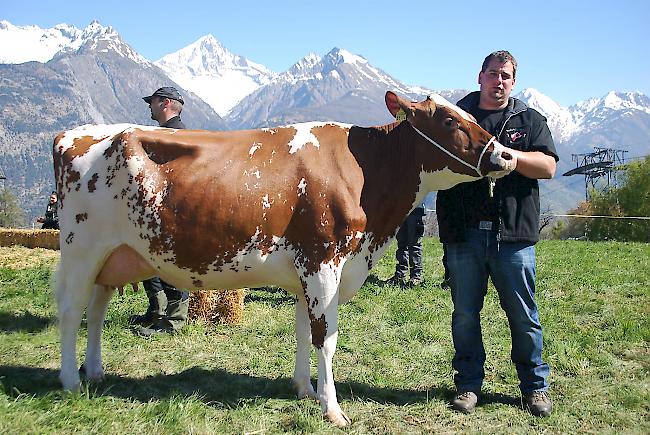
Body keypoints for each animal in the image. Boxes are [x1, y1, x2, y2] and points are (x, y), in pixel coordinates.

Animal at [52, 90, 516, 428]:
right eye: (450, 120)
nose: (507, 155)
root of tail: (72, 134)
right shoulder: (324, 262)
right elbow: (326, 338)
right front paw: (332, 408)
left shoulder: (306, 274)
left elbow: (303, 331)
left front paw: (304, 390)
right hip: (81, 248)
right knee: (72, 311)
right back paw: (71, 380)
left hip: (114, 257)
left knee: (97, 310)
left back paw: (95, 371)